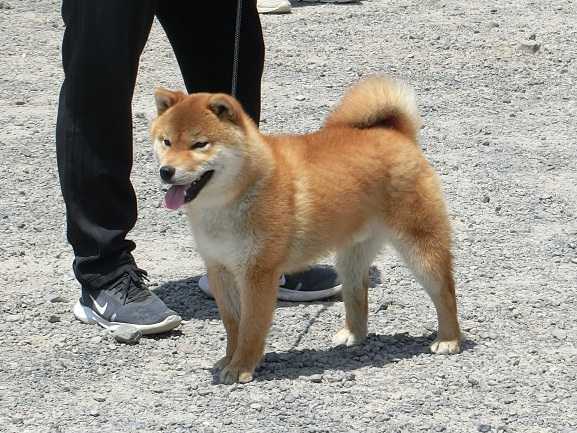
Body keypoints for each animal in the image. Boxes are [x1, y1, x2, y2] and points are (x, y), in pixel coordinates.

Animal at [151, 76, 462, 384]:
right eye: (166, 141)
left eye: (199, 144)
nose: (166, 171)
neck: (230, 200)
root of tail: (397, 134)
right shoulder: (220, 269)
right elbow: (232, 325)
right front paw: (229, 359)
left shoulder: (258, 273)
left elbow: (251, 327)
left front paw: (241, 367)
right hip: (350, 257)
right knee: (357, 293)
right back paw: (353, 334)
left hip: (419, 246)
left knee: (445, 292)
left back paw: (449, 339)